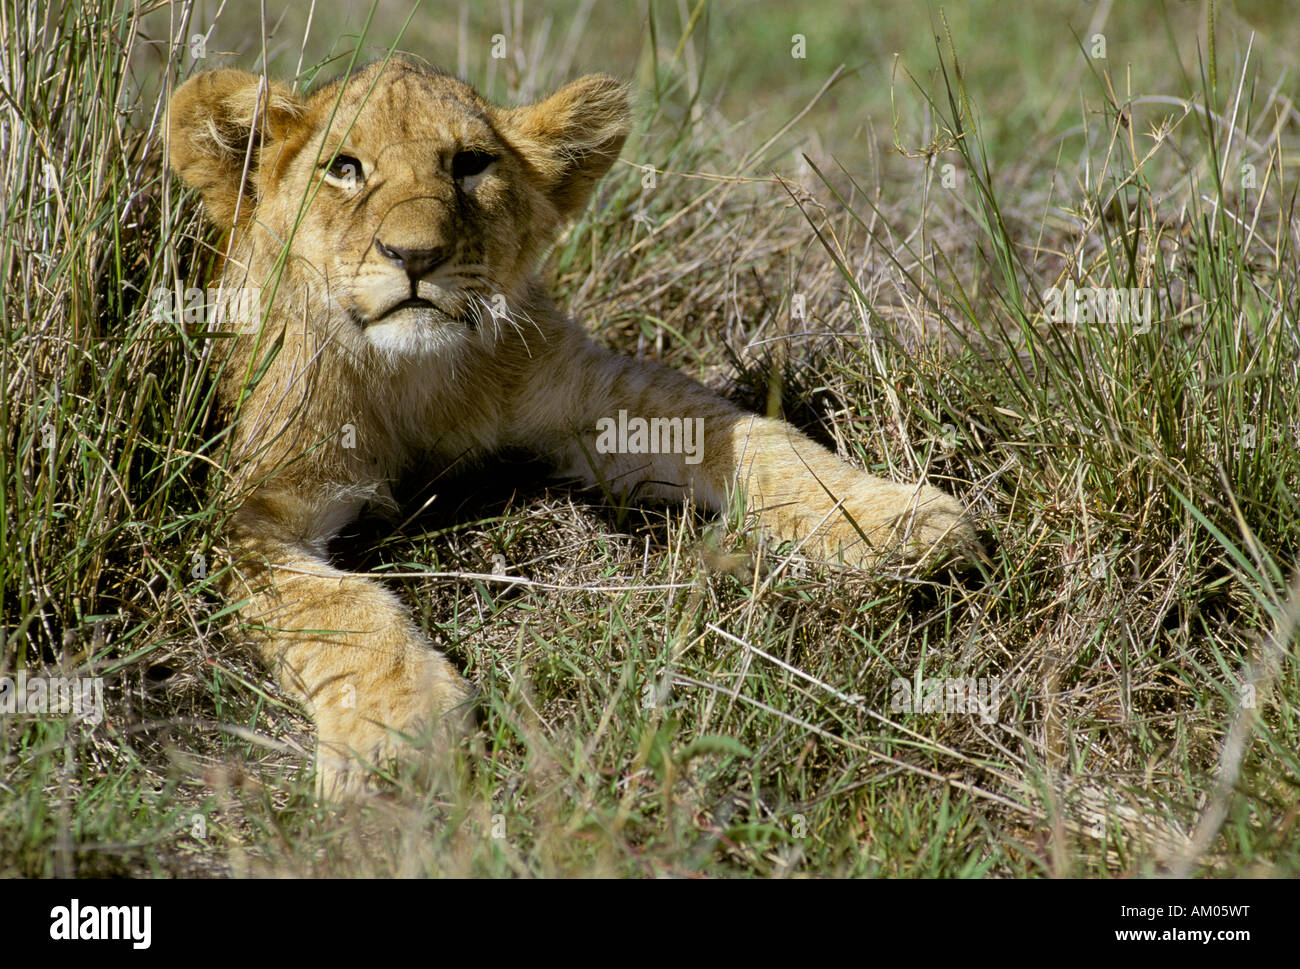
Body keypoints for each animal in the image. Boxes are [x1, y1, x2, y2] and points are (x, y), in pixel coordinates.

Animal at [166, 56, 973, 797]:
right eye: (344, 168)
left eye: (470, 164)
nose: (415, 256)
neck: (411, 377)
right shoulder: (245, 514)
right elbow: (340, 607)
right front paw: (396, 734)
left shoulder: (598, 392)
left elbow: (758, 437)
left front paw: (893, 518)